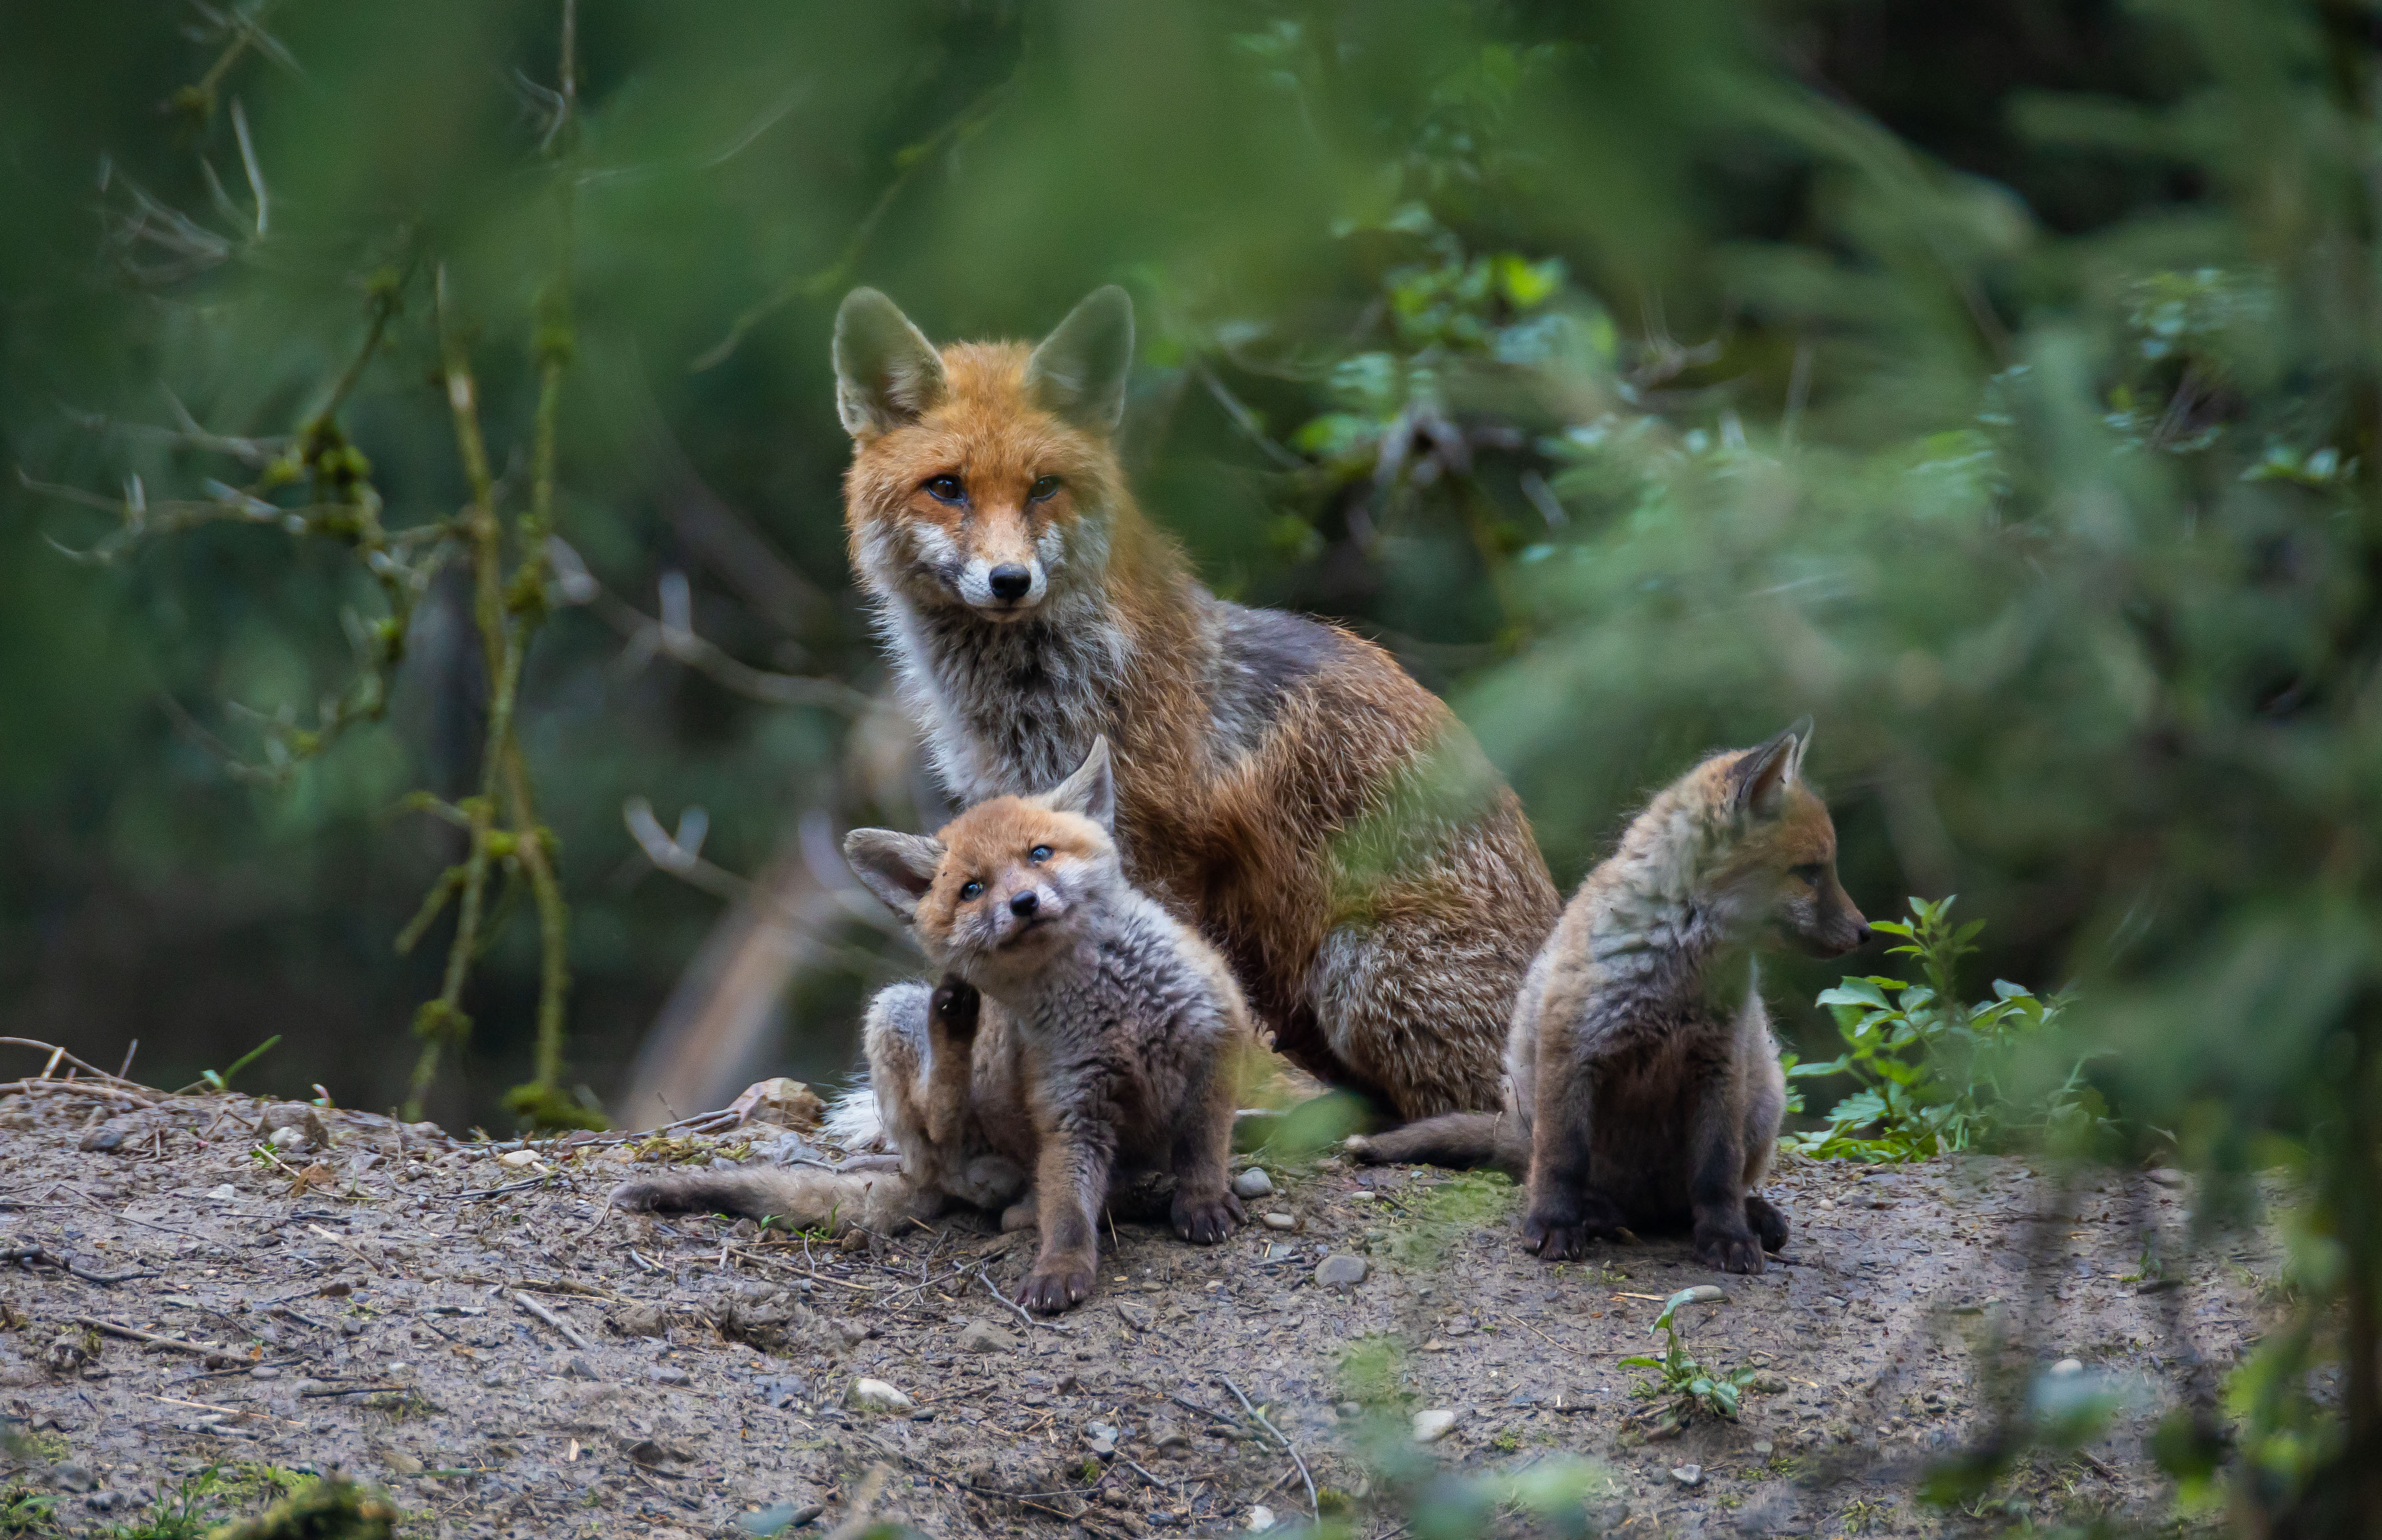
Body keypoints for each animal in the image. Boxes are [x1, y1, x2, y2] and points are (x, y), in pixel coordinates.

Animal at [614, 738, 1249, 1313]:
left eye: (1039, 853)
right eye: (972, 888)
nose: (1023, 903)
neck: (1112, 1006)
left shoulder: (1215, 1047)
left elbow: (1202, 1150)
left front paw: (1202, 1204)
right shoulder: (1071, 1109)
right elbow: (1068, 1214)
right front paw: (1060, 1269)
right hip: (894, 1013)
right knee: (937, 1146)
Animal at [830, 284, 1558, 1121]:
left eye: (1043, 487)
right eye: (946, 487)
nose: (1010, 581)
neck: (1038, 695)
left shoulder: (1162, 848)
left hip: (1358, 968)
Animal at [1345, 720, 1871, 1275]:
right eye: (1810, 872)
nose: (1865, 932)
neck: (1676, 972)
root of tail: (1649, 1209)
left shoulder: (1720, 1064)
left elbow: (1717, 1171)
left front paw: (1727, 1236)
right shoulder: (1572, 1050)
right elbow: (1562, 1160)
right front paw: (1554, 1224)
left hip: (1765, 1097)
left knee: (1697, 1196)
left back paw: (1750, 1216)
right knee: (1551, 1174)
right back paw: (1596, 1212)